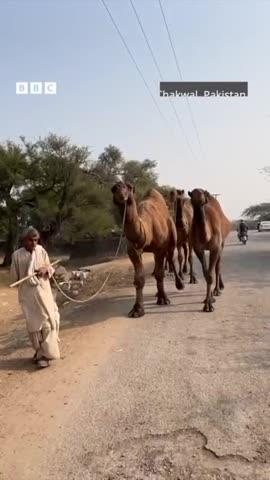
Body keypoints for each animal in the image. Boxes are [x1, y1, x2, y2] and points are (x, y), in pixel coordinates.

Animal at [110, 182, 185, 316]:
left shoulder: (160, 248)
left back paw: (179, 284)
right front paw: (137, 309)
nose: (120, 193)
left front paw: (163, 299)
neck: (146, 227)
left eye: (128, 187)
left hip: (172, 238)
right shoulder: (133, 250)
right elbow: (139, 279)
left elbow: (160, 274)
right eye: (113, 189)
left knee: (170, 257)